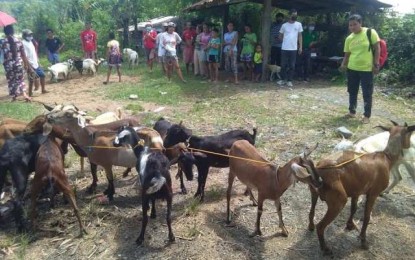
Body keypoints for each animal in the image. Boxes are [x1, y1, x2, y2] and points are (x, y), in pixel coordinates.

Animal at [292, 122, 415, 256]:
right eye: (409, 133)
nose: (409, 145)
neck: (386, 157)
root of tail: (318, 170)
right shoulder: (373, 193)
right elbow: (366, 216)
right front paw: (363, 241)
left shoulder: (357, 190)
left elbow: (354, 208)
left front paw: (350, 225)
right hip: (338, 201)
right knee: (321, 226)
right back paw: (326, 248)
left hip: (314, 192)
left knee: (311, 212)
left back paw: (311, 227)